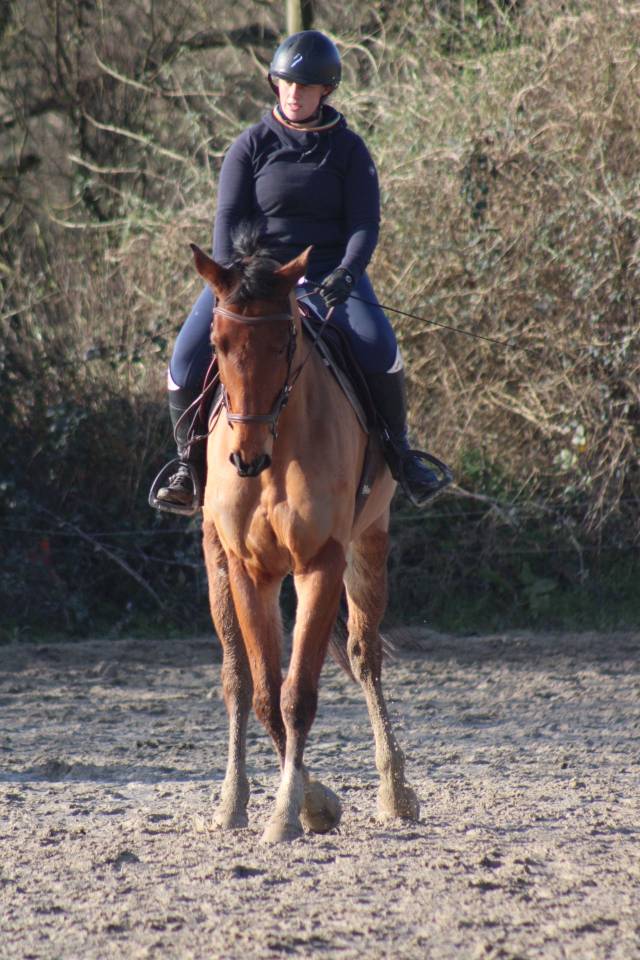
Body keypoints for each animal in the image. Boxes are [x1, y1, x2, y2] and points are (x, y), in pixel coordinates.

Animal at [191, 231, 419, 843]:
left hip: (370, 542)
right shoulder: (251, 570)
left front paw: (292, 813)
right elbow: (267, 694)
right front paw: (310, 802)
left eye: (285, 341)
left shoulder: (321, 562)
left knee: (364, 656)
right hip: (216, 560)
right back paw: (231, 802)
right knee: (236, 678)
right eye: (218, 344)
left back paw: (395, 792)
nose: (244, 459)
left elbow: (298, 695)